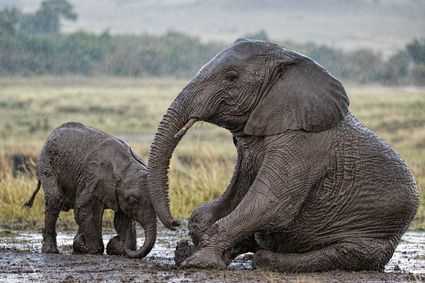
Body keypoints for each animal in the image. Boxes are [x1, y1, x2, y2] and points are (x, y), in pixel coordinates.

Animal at [23, 122, 156, 260]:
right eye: (133, 200)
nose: (120, 241)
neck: (124, 167)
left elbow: (122, 221)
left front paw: (118, 246)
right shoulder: (92, 180)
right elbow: (85, 211)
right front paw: (86, 246)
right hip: (47, 164)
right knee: (55, 200)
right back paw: (51, 251)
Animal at [146, 38, 418, 272]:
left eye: (231, 77)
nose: (174, 223)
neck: (289, 61)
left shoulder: (303, 144)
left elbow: (271, 202)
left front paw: (199, 262)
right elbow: (230, 200)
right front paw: (191, 249)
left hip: (372, 238)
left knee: (334, 253)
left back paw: (264, 259)